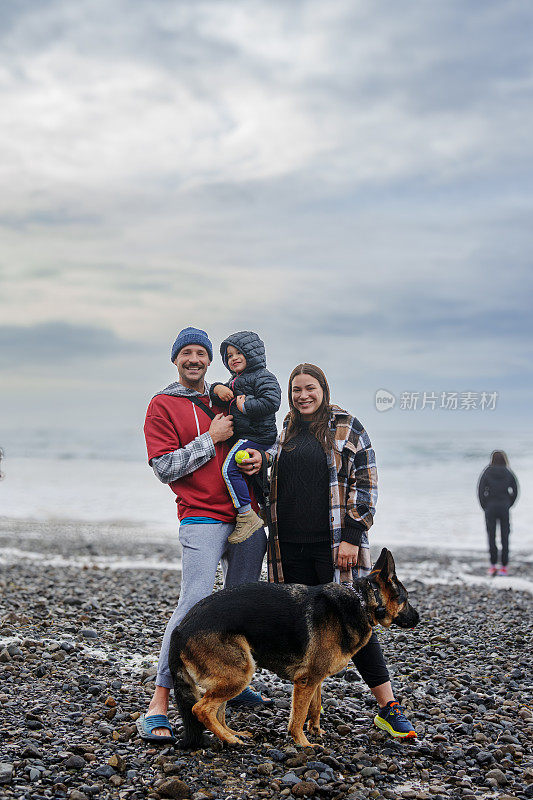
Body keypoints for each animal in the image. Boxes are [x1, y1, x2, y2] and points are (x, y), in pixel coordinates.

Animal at [168, 548, 418, 748]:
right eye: (406, 600)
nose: (418, 618)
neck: (363, 601)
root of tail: (180, 629)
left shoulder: (315, 678)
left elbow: (315, 706)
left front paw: (316, 730)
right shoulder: (306, 680)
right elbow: (298, 715)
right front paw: (303, 743)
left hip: (232, 675)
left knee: (217, 710)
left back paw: (232, 733)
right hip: (240, 673)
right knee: (202, 709)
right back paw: (230, 739)